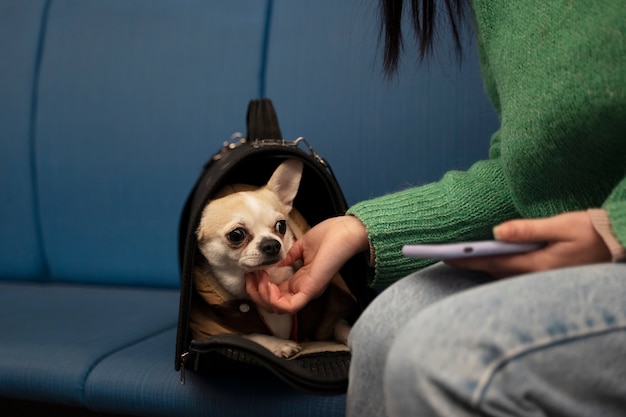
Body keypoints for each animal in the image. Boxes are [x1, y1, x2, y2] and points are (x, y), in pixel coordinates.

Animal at [191, 159, 352, 358]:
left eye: (281, 225)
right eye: (236, 235)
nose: (272, 244)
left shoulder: (327, 319)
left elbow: (340, 325)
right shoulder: (213, 330)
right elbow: (252, 336)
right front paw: (279, 344)